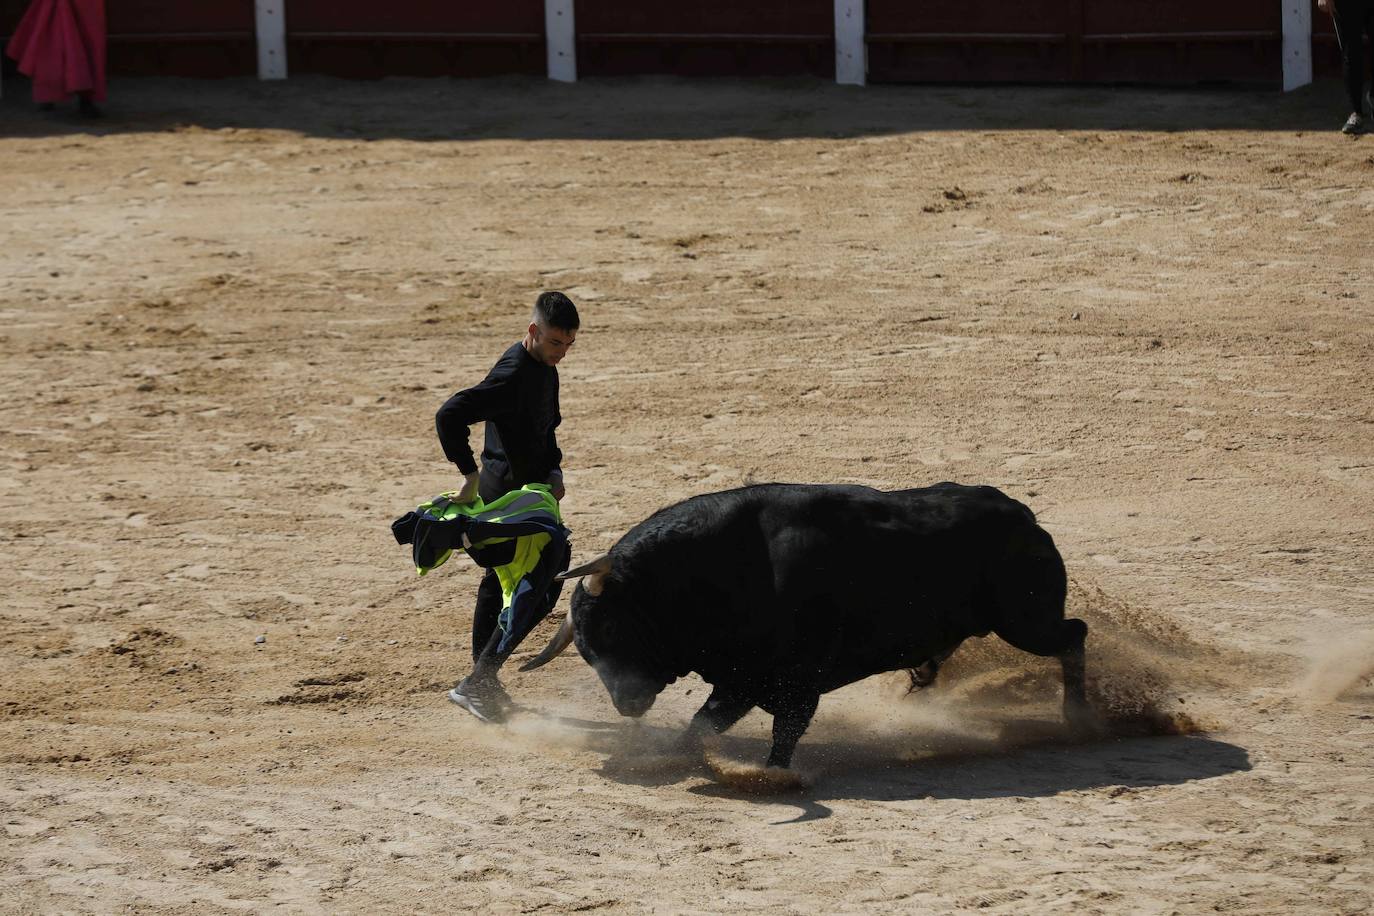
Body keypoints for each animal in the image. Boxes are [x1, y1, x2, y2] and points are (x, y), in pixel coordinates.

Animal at [519, 483, 1088, 769]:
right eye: (586, 652)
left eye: (613, 631)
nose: (628, 705)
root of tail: (1023, 515)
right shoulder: (742, 680)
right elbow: (702, 727)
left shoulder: (789, 681)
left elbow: (776, 733)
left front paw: (772, 778)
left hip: (1025, 621)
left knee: (1075, 635)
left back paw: (1079, 718)